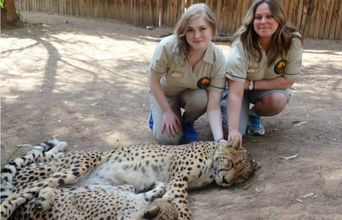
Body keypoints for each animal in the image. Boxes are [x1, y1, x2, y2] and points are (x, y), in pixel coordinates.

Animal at [0, 138, 256, 219]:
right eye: (233, 164)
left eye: (240, 178)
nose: (226, 182)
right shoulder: (178, 180)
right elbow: (183, 207)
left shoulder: (173, 184)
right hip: (80, 166)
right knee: (23, 190)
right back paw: (6, 210)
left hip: (96, 187)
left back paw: (43, 199)